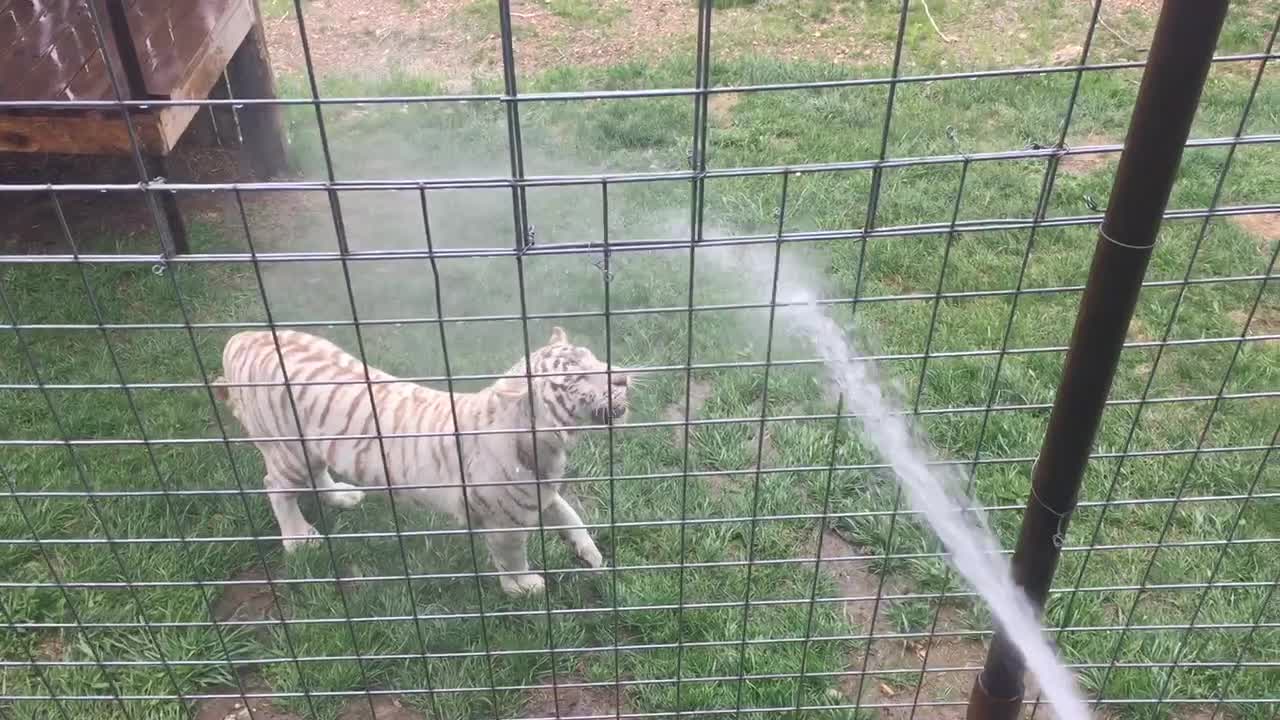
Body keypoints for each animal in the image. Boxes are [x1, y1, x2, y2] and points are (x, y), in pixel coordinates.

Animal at [211, 327, 629, 591]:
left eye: (593, 357)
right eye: (575, 378)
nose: (623, 378)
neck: (548, 444)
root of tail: (240, 338)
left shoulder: (541, 492)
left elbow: (571, 516)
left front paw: (589, 554)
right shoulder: (505, 522)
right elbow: (512, 558)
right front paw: (524, 587)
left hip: (311, 448)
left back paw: (342, 497)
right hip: (289, 449)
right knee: (275, 487)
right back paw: (298, 538)